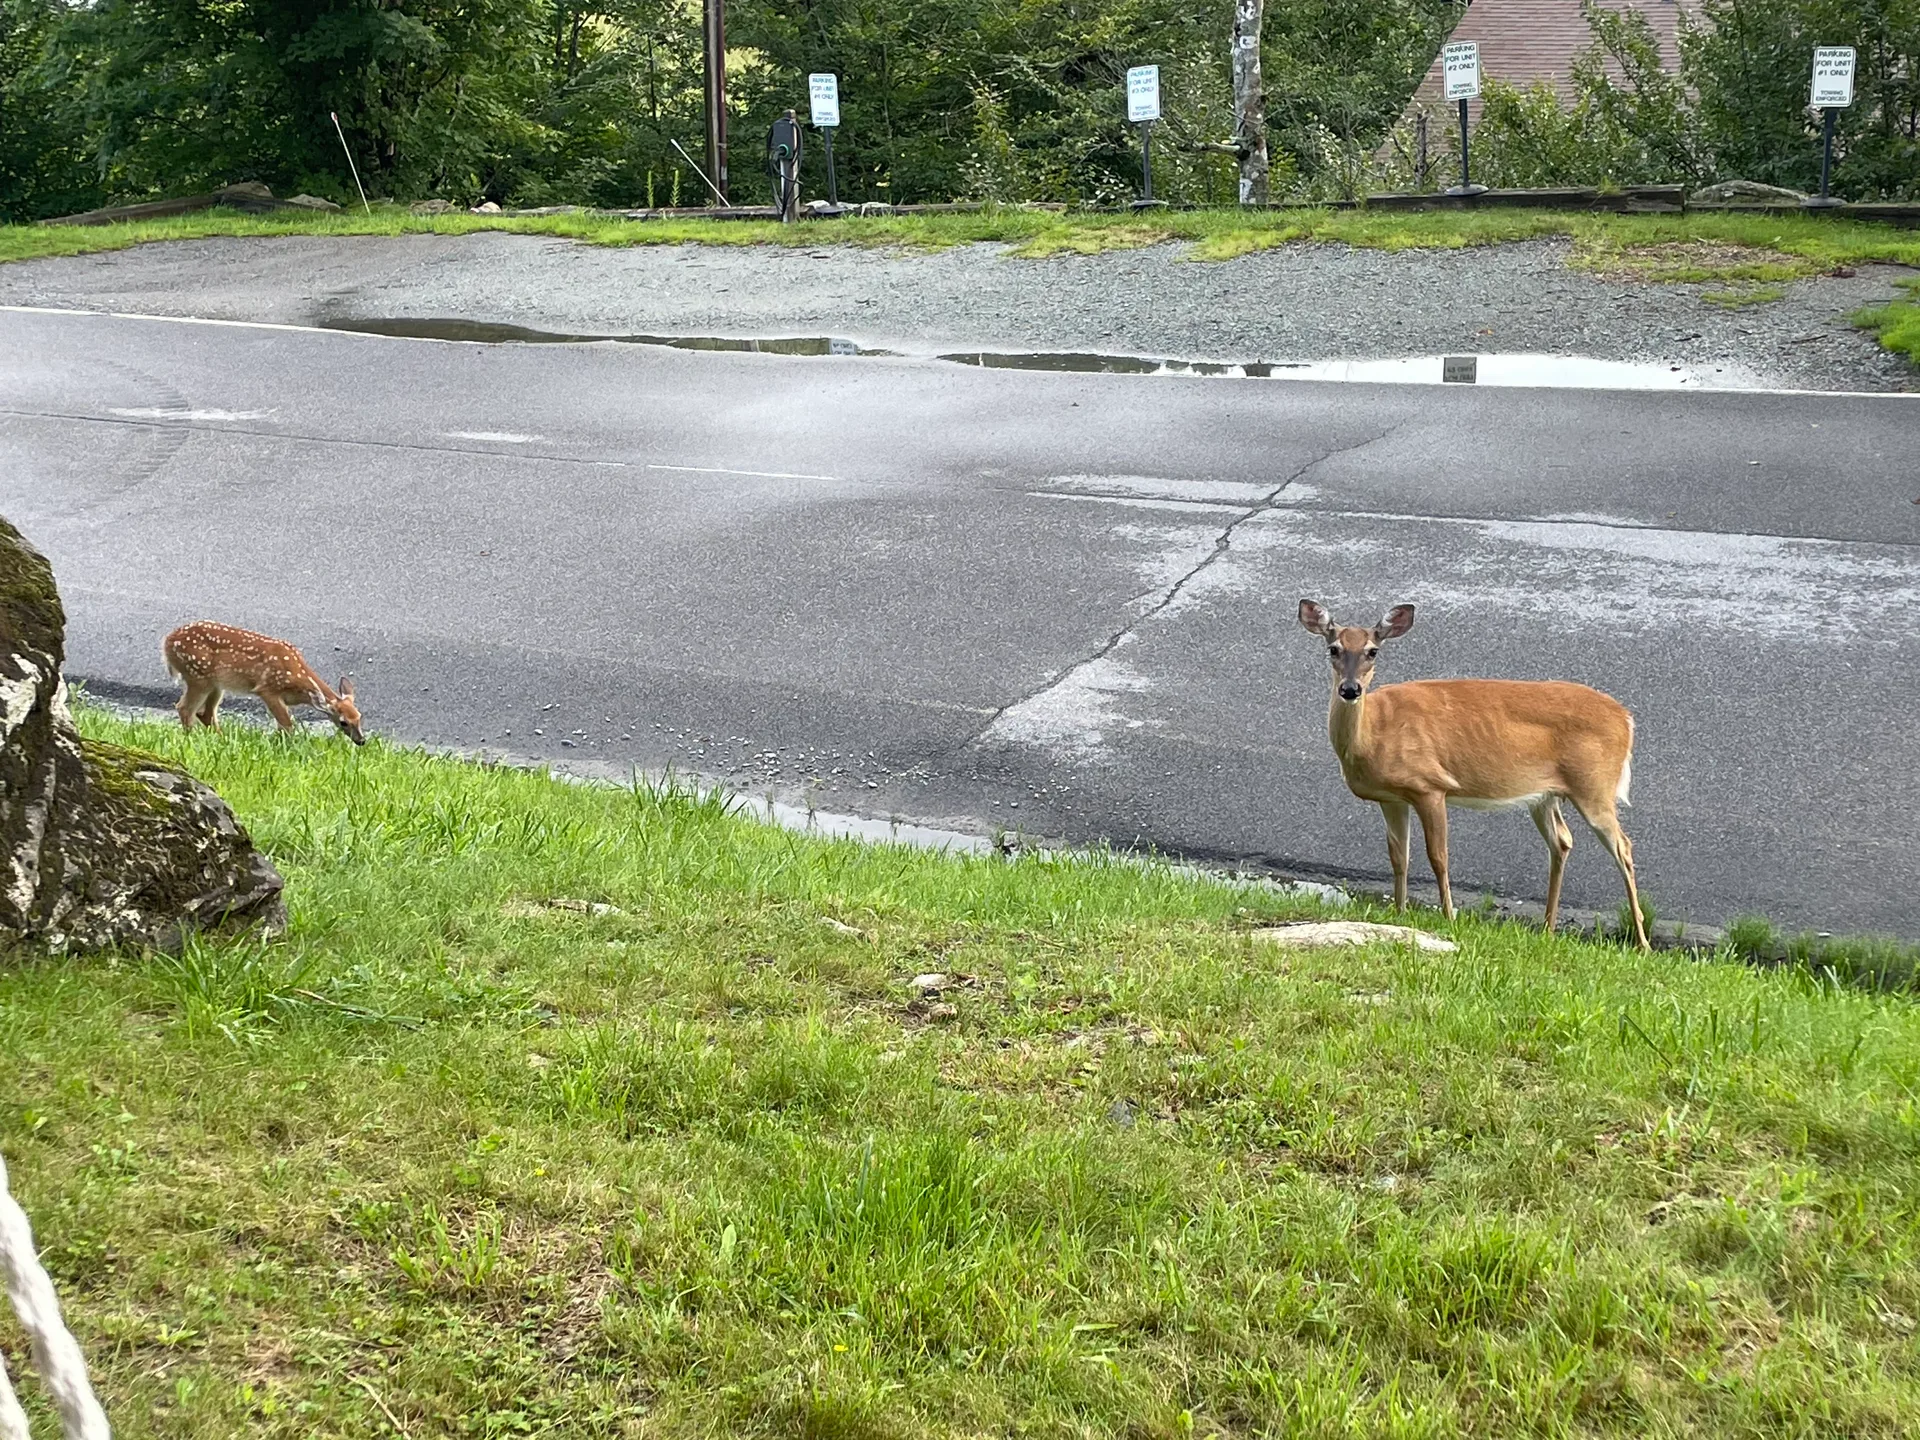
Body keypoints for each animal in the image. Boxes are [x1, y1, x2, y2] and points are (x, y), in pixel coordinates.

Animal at [163, 621, 365, 745]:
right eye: (343, 722)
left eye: (359, 717)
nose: (361, 741)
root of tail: (167, 642)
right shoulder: (267, 689)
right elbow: (287, 725)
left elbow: (284, 725)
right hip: (198, 676)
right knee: (185, 708)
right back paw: (193, 739)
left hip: (215, 684)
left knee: (204, 713)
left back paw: (223, 740)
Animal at [1297, 600, 1649, 951]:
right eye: (1334, 648)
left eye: (1372, 651)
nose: (1350, 689)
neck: (1373, 733)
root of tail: (1626, 719)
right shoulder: (1392, 798)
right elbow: (1399, 856)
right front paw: (1399, 913)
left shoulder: (1430, 786)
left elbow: (1438, 856)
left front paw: (1449, 917)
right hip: (1544, 795)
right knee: (1562, 841)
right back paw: (1548, 929)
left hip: (1595, 785)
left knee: (1623, 846)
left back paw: (1642, 942)